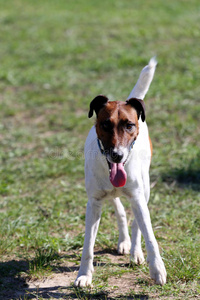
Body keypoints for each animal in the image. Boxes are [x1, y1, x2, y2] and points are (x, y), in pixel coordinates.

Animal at [74, 57, 166, 288]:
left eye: (129, 125)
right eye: (105, 125)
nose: (117, 155)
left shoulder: (138, 197)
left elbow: (149, 235)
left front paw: (157, 269)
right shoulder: (94, 202)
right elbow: (88, 245)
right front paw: (84, 275)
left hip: (144, 189)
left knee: (136, 223)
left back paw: (135, 252)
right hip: (110, 193)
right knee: (120, 210)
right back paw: (124, 242)